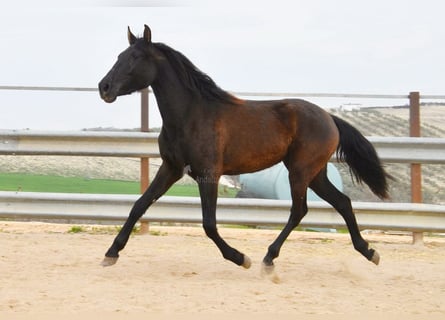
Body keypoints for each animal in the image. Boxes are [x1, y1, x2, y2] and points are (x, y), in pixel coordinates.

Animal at [98, 25, 388, 272]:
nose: (104, 87)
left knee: (299, 210)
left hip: (300, 172)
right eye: (120, 55)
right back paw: (369, 252)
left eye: (135, 57)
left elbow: (209, 224)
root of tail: (329, 118)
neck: (191, 115)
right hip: (315, 174)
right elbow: (139, 205)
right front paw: (111, 253)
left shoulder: (208, 174)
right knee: (342, 202)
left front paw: (240, 258)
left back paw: (268, 258)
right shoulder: (171, 169)